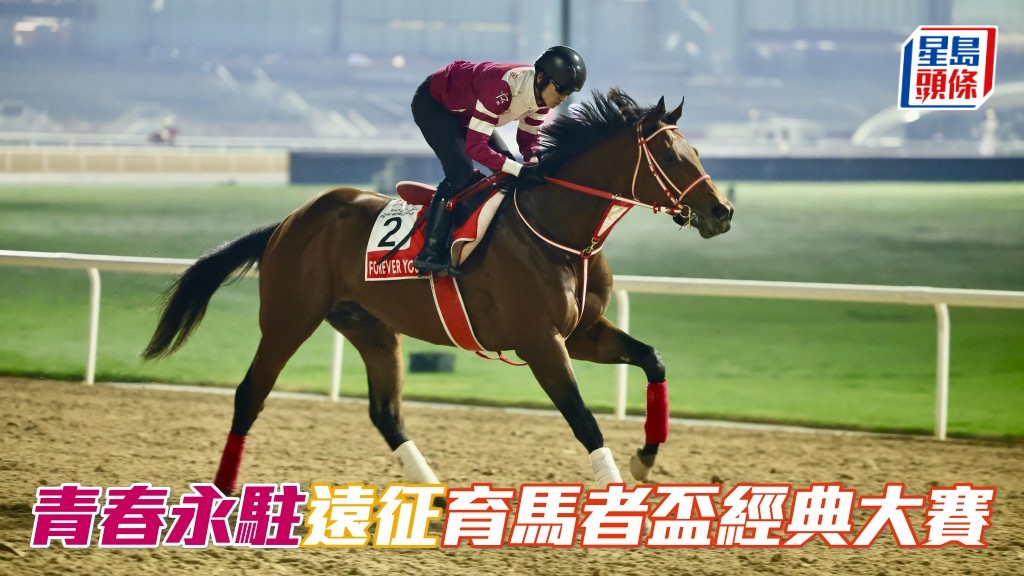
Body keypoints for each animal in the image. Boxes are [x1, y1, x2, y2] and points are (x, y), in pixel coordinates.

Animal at [142, 88, 734, 495]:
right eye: (672, 156)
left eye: (696, 151)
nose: (721, 211)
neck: (559, 231)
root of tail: (290, 220)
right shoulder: (540, 341)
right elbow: (583, 418)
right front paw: (615, 489)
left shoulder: (582, 334)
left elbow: (652, 359)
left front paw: (645, 457)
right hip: (290, 318)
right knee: (250, 394)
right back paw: (222, 492)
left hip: (370, 327)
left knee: (385, 412)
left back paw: (435, 494)